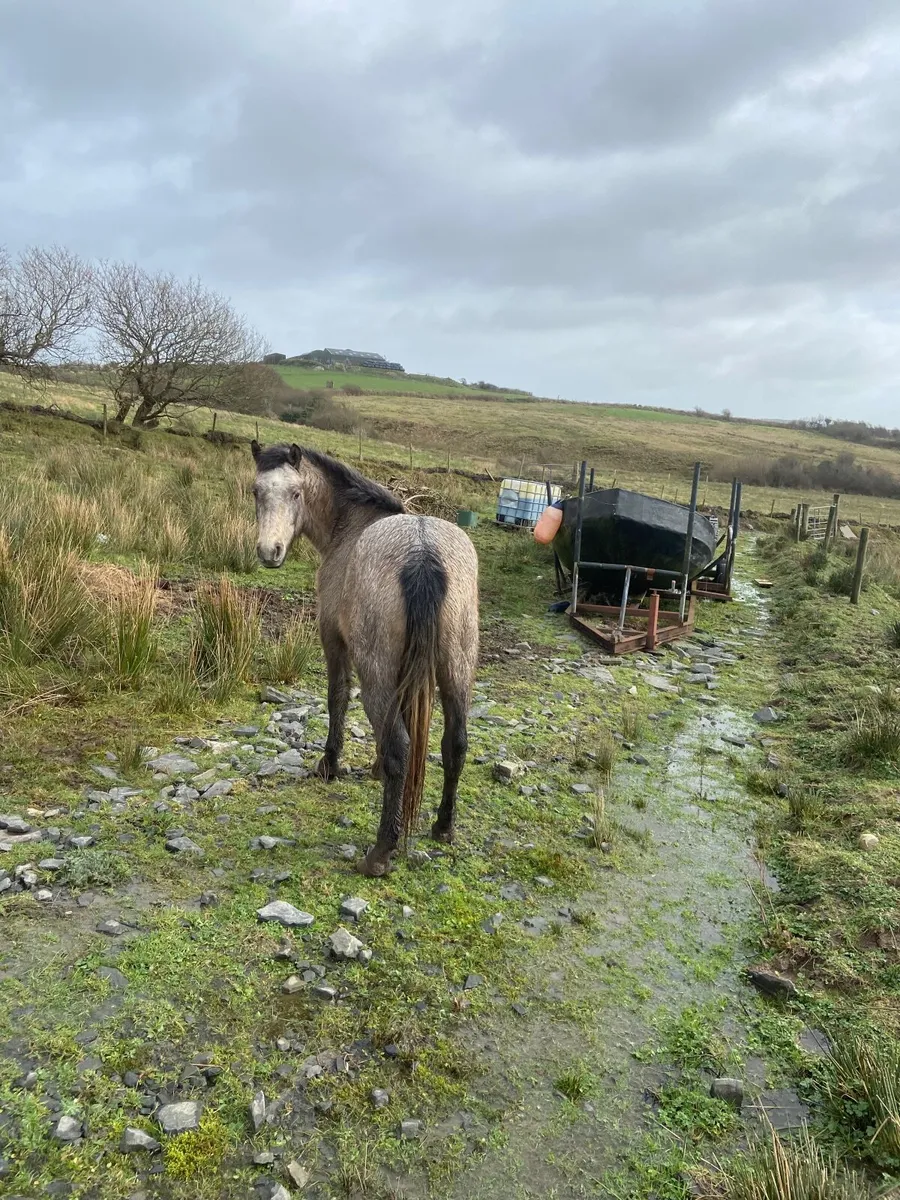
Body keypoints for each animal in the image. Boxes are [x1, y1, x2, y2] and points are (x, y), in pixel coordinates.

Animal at [250, 441, 479, 877]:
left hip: (376, 673)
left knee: (398, 747)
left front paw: (330, 764)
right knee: (455, 743)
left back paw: (380, 852)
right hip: (456, 671)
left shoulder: (334, 641)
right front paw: (375, 771)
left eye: (296, 493)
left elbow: (337, 698)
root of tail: (423, 554)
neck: (351, 527)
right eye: (256, 491)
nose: (269, 552)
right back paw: (443, 826)